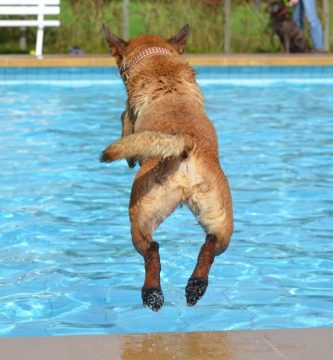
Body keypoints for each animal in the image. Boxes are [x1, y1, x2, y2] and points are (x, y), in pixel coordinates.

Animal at [101, 23, 233, 310]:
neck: (158, 60)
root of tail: (185, 146)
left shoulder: (128, 121)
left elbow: (124, 122)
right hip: (221, 220)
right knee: (209, 247)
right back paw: (195, 287)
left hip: (139, 215)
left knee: (152, 250)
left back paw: (152, 294)